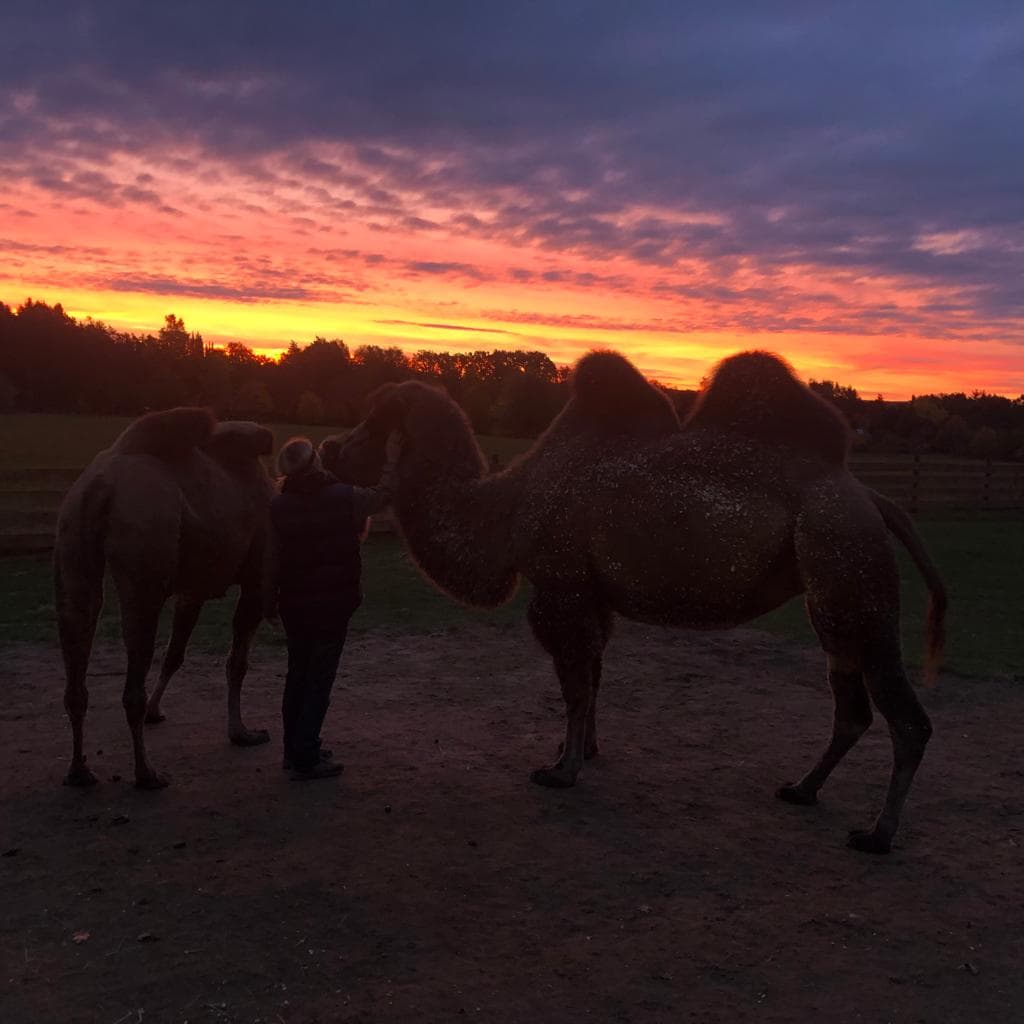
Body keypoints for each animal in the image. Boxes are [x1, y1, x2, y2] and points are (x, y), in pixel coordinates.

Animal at [54, 405, 274, 782]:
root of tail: (101, 486)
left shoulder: (193, 590)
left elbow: (175, 654)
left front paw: (157, 712)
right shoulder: (256, 581)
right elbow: (237, 663)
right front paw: (242, 733)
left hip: (73, 542)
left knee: (77, 667)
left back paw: (79, 770)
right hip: (146, 561)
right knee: (132, 681)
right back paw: (146, 773)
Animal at [327, 348, 942, 851]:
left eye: (368, 430)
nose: (329, 449)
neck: (507, 506)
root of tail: (872, 498)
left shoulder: (561, 588)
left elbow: (575, 687)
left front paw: (561, 771)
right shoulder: (593, 594)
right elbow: (594, 679)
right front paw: (580, 751)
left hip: (847, 564)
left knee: (907, 718)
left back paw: (876, 835)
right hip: (837, 596)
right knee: (853, 709)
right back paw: (802, 789)